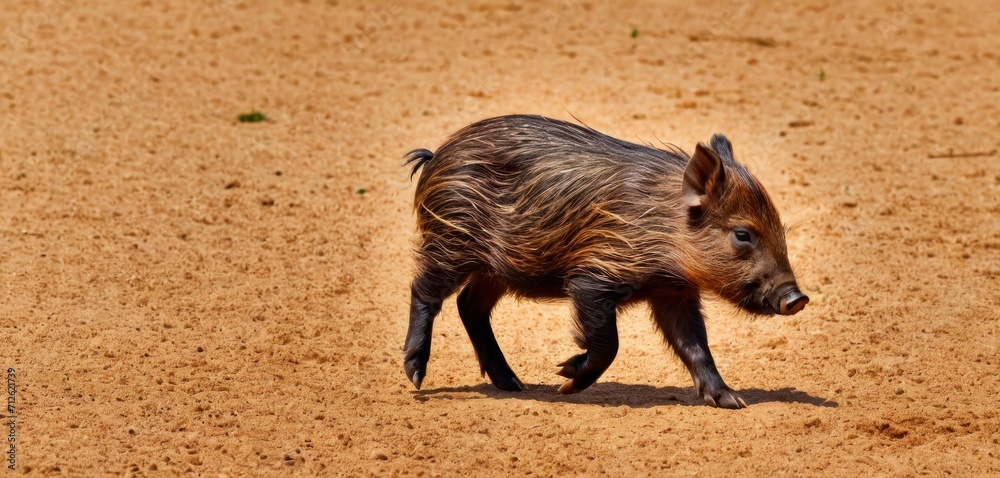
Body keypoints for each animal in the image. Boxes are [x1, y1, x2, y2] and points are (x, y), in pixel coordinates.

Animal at [402, 115, 807, 409]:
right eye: (743, 234)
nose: (797, 298)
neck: (663, 231)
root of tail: (434, 158)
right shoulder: (592, 279)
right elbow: (608, 342)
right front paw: (565, 381)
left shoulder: (673, 292)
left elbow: (695, 346)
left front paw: (732, 401)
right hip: (451, 243)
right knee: (425, 290)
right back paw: (415, 375)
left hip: (495, 268)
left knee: (469, 305)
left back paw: (514, 385)